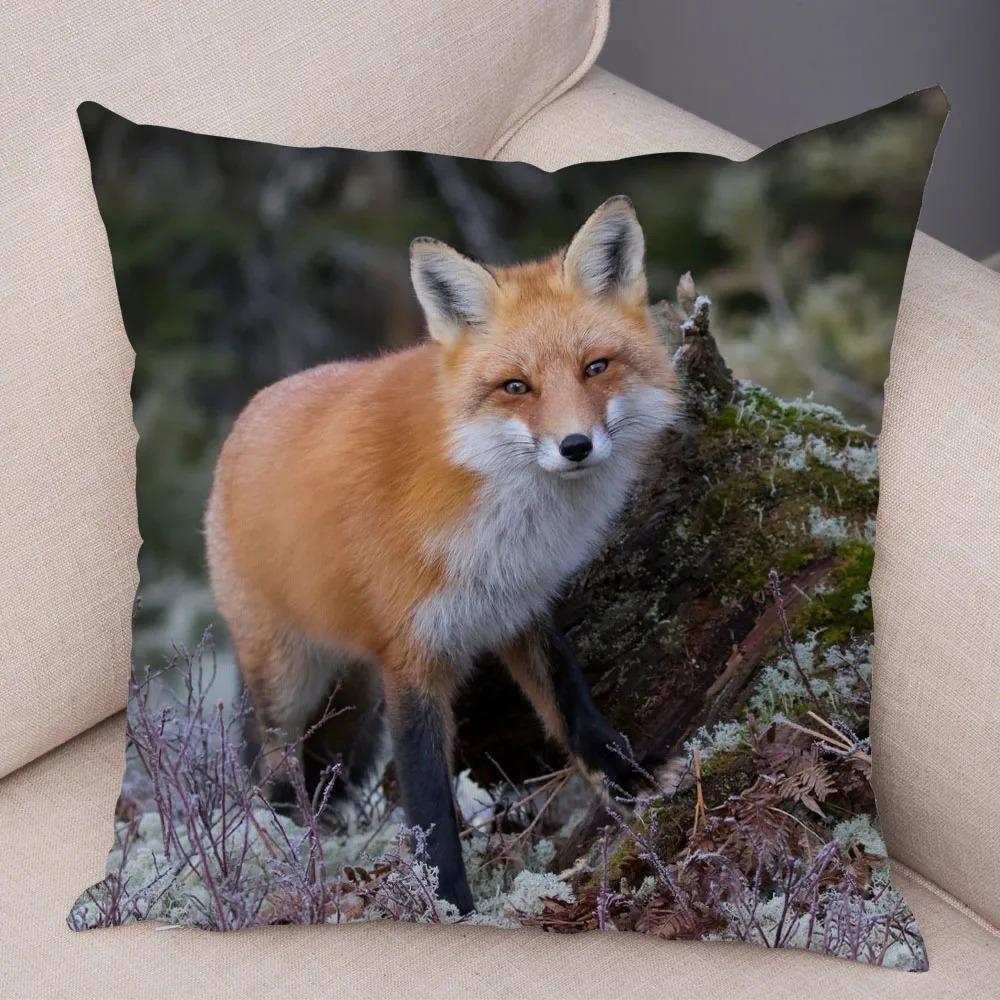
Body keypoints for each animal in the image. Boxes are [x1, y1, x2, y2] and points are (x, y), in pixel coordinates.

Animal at [204, 195, 683, 913]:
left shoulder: (520, 607)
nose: (575, 446)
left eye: (596, 367)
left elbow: (573, 707)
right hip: (288, 679)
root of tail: (247, 415)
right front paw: (452, 906)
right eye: (516, 386)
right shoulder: (411, 656)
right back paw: (286, 853)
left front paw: (630, 780)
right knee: (271, 772)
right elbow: (429, 802)